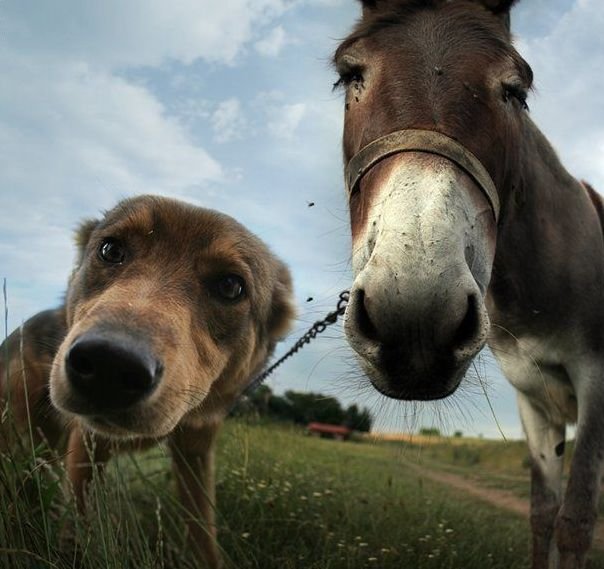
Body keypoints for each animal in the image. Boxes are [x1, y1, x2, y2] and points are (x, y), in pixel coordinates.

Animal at [0, 193, 294, 564]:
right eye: (110, 250)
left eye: (230, 286)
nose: (110, 365)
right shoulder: (87, 443)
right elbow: (78, 514)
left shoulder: (197, 451)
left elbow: (202, 528)